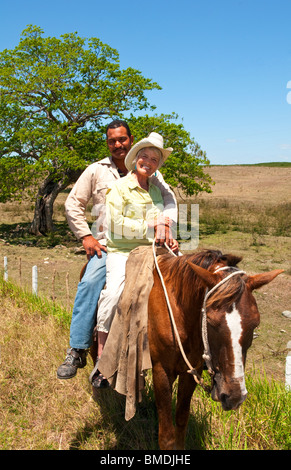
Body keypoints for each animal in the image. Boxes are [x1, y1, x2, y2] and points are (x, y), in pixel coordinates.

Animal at [148, 250, 282, 452]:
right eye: (210, 321)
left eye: (255, 323)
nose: (234, 396)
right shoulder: (161, 371)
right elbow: (166, 436)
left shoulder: (191, 372)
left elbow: (181, 420)